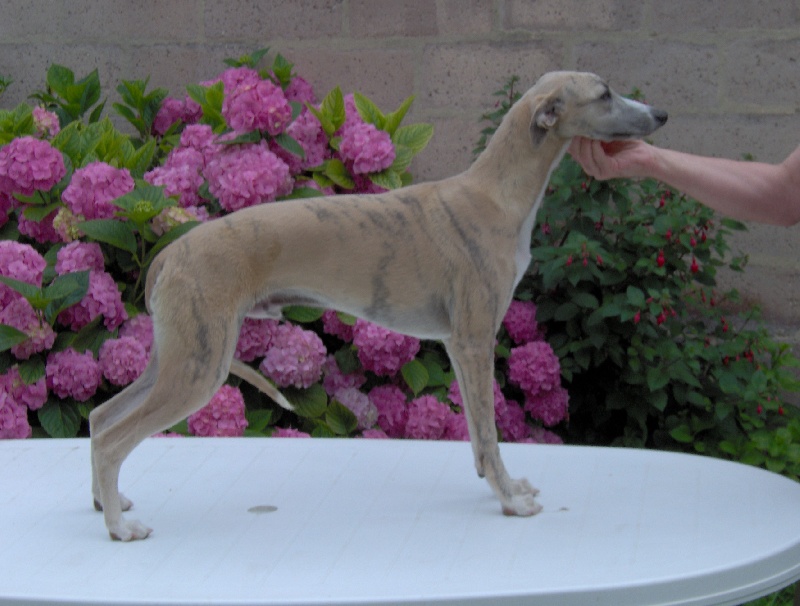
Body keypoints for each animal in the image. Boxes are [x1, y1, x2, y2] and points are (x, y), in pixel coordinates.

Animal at [90, 71, 667, 541]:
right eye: (604, 93)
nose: (661, 114)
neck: (495, 194)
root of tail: (169, 255)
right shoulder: (476, 339)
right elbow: (490, 432)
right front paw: (511, 501)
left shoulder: (459, 345)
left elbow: (478, 437)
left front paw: (500, 486)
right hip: (199, 366)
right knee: (115, 437)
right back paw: (119, 528)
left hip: (178, 354)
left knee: (100, 416)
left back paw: (106, 503)